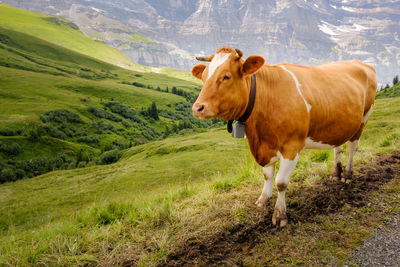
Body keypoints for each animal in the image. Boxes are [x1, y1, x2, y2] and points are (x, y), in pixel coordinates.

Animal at [190, 47, 376, 227]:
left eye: (226, 76)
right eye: (204, 77)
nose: (197, 108)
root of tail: (360, 63)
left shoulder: (291, 147)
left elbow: (281, 182)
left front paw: (280, 214)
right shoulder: (265, 147)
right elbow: (267, 175)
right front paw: (263, 199)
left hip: (363, 119)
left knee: (352, 148)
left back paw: (347, 175)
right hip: (339, 124)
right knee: (338, 147)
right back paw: (336, 173)